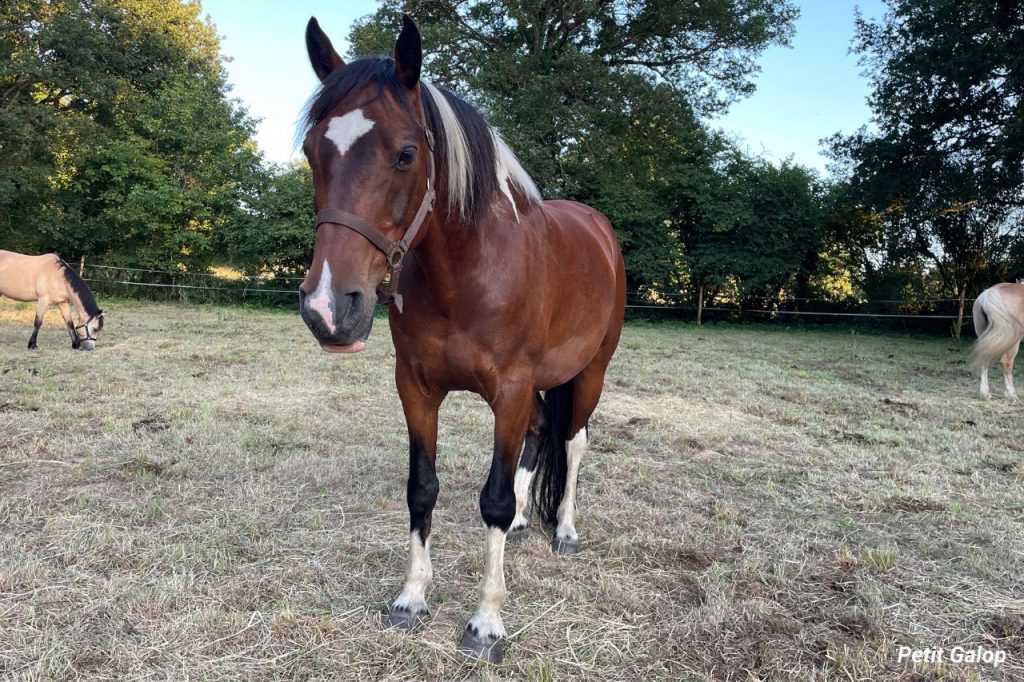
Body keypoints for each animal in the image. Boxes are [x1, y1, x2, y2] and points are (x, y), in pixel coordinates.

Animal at [297, 16, 625, 663]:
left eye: (406, 154)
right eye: (311, 151)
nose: (328, 309)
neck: (468, 273)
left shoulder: (511, 390)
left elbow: (492, 499)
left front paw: (486, 623)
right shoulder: (417, 389)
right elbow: (422, 489)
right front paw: (411, 599)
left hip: (591, 372)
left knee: (572, 440)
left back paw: (564, 529)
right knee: (540, 436)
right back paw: (526, 521)